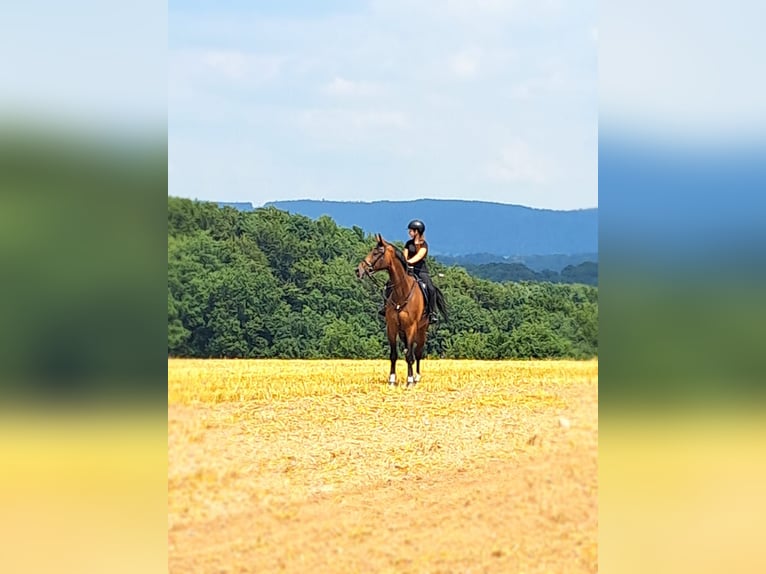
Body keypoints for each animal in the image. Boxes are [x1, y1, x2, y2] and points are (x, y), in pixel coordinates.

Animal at [356, 233, 448, 388]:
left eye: (377, 253)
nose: (358, 270)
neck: (402, 292)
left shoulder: (411, 327)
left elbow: (410, 355)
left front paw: (409, 381)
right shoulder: (392, 327)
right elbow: (394, 355)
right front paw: (392, 380)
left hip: (421, 330)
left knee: (417, 353)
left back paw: (416, 377)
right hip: (402, 331)